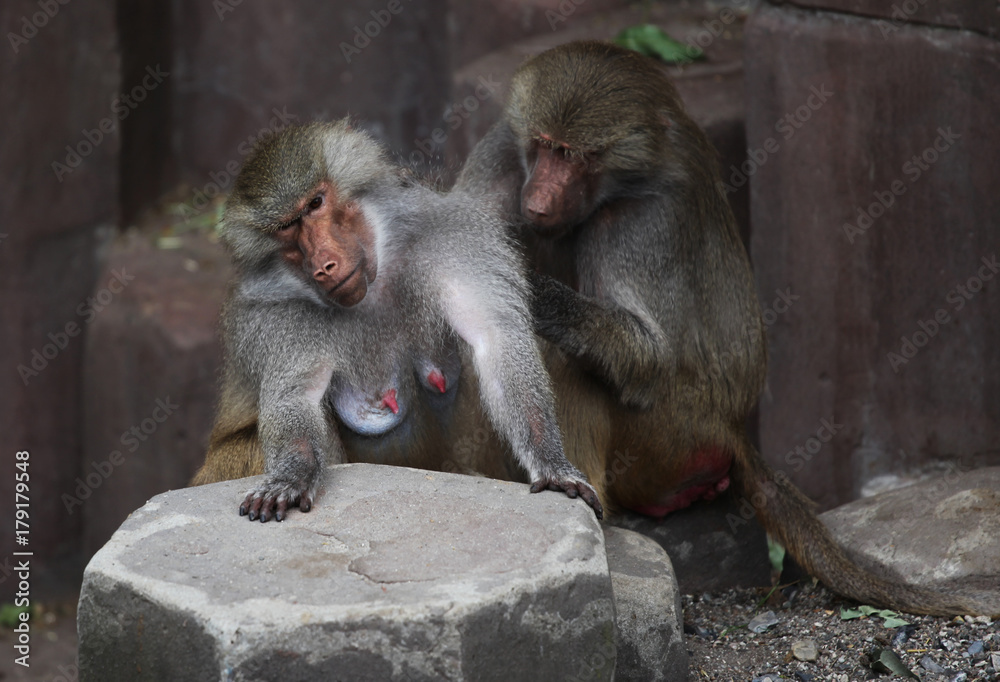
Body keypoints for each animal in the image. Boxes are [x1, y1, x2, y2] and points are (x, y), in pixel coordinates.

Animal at [191, 119, 602, 522]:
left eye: (315, 204)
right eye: (286, 228)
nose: (323, 267)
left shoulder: (448, 239)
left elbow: (493, 340)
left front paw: (552, 464)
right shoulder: (277, 315)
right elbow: (296, 396)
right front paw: (291, 477)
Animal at [454, 40, 998, 616]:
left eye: (576, 156)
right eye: (542, 146)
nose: (536, 202)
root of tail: (731, 427)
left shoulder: (642, 221)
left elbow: (650, 358)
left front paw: (538, 293)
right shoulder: (499, 158)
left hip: (673, 430)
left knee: (567, 356)